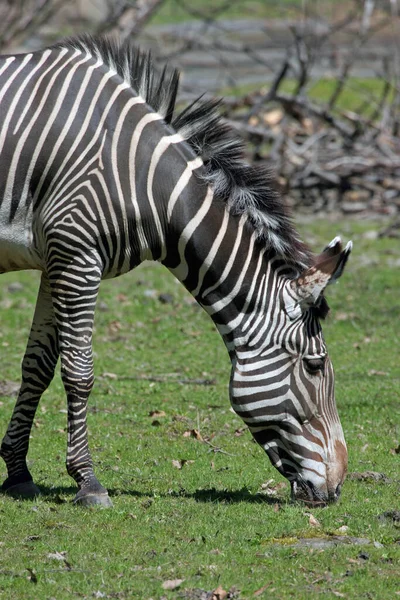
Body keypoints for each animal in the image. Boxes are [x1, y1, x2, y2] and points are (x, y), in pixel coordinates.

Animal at [0, 35, 350, 506]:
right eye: (315, 366)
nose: (337, 486)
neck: (145, 185)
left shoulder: (55, 259)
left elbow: (37, 366)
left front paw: (18, 472)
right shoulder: (77, 256)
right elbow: (79, 370)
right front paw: (87, 481)